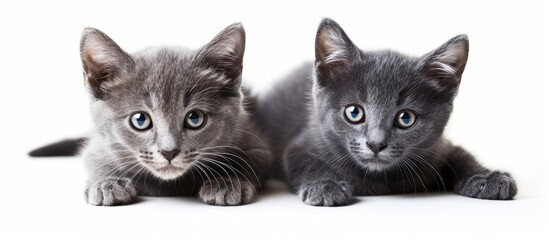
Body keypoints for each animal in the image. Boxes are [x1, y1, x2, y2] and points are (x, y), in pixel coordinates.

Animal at [31, 23, 270, 206]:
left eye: (195, 118)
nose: (169, 151)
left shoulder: (256, 142)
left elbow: (248, 161)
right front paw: (106, 183)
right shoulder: (97, 146)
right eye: (140, 120)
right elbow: (93, 161)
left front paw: (228, 182)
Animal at [260, 18, 516, 206]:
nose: (376, 144)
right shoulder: (303, 142)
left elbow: (461, 155)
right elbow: (303, 160)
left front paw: (486, 177)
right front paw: (324, 184)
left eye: (406, 118)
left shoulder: (438, 147)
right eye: (354, 112)